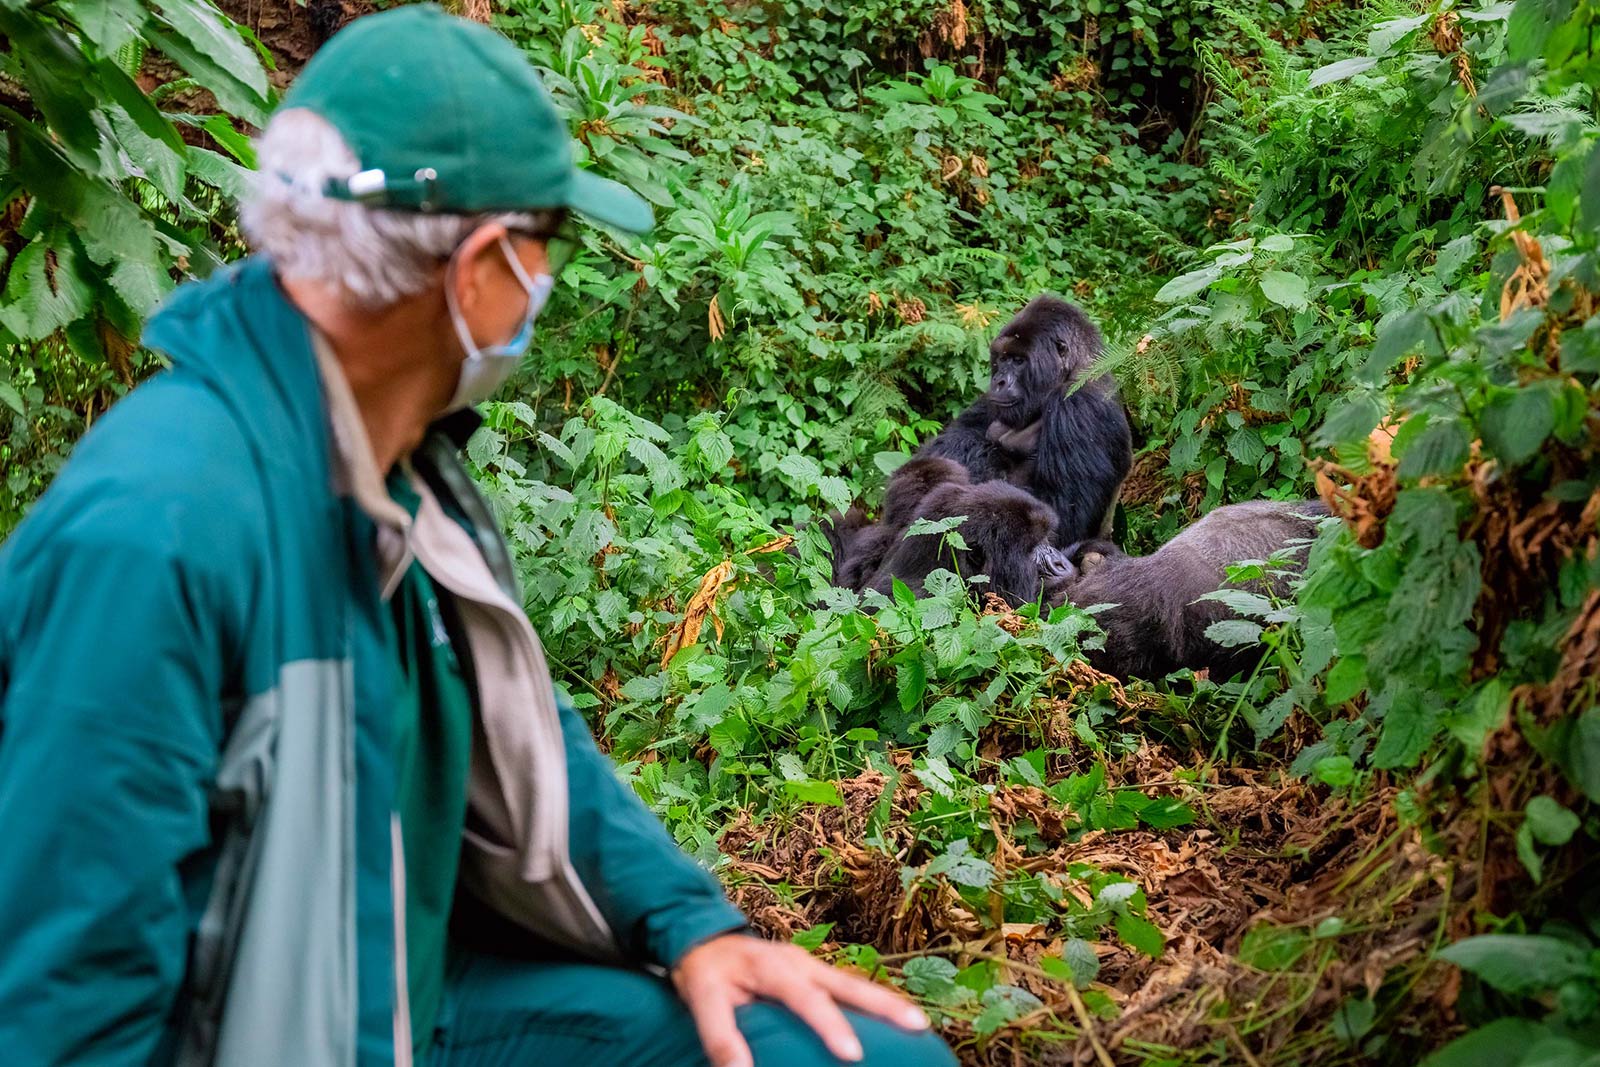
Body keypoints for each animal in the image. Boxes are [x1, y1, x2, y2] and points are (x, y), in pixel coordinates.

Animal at [915, 294, 1139, 547]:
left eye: (1019, 360)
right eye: (1002, 359)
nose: (999, 381)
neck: (1077, 370)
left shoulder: (1079, 408)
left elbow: (1059, 513)